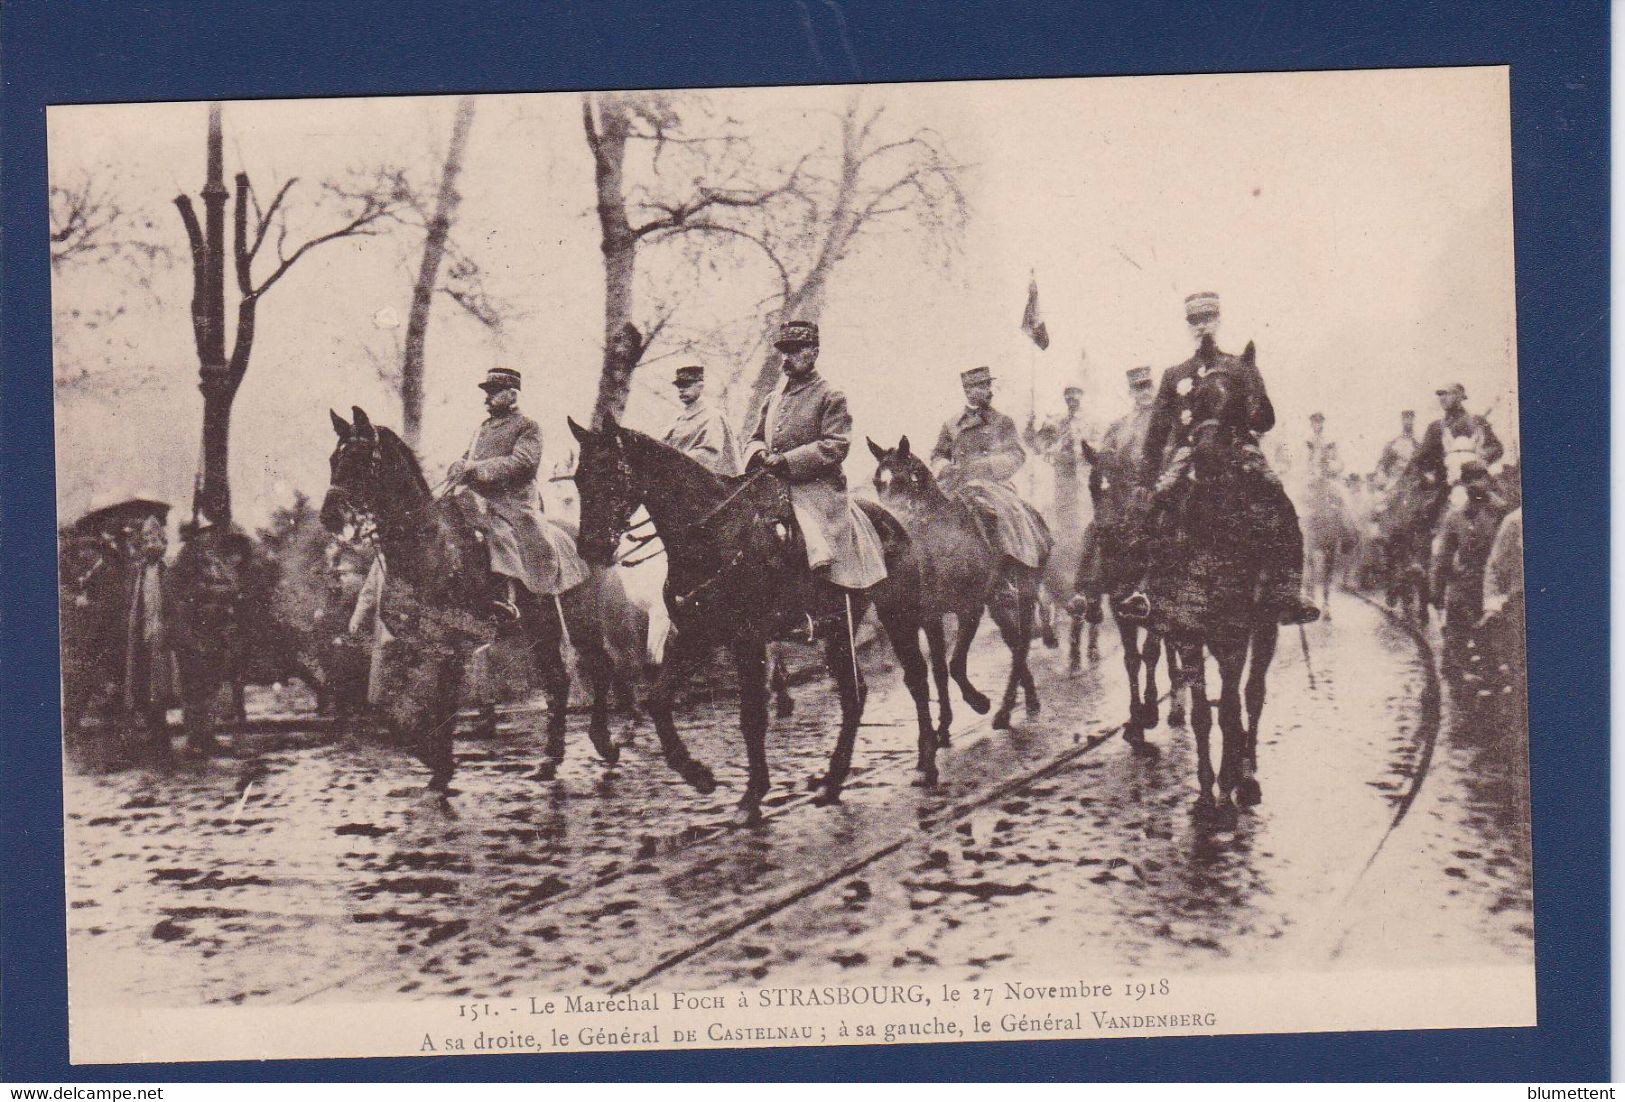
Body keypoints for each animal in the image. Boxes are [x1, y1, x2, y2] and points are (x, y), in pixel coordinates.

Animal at [323, 407, 620, 793]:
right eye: (334, 460)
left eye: (361, 459)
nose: (329, 517)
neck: (428, 545)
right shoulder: (416, 643)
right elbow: (396, 709)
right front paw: (430, 757)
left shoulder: (453, 643)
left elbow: (444, 701)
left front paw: (443, 767)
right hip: (542, 631)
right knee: (558, 680)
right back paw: (550, 760)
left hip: (583, 626)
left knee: (601, 667)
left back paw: (603, 743)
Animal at [568, 419, 936, 825]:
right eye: (579, 478)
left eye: (610, 473)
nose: (590, 549)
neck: (714, 535)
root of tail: (890, 518)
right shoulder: (696, 635)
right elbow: (659, 701)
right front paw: (698, 775)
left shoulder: (747, 640)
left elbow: (751, 716)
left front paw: (751, 796)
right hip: (840, 627)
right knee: (854, 695)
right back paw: (832, 782)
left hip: (898, 616)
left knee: (915, 679)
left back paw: (925, 764)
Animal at [871, 435, 1046, 737]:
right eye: (877, 482)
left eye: (905, 479)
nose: (888, 529)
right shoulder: (931, 616)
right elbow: (940, 669)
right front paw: (944, 724)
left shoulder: (970, 608)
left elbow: (955, 665)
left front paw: (979, 702)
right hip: (997, 600)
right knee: (1014, 642)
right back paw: (1027, 699)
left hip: (1025, 586)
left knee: (1022, 642)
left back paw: (1004, 711)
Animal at [1072, 438, 1189, 741]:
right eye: (1091, 486)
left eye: (1122, 484)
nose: (1104, 532)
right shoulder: (1118, 605)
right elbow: (1132, 659)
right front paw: (1136, 717)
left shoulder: (1158, 604)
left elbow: (1150, 652)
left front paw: (1150, 712)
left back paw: (1177, 705)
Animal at [1150, 367, 1287, 806]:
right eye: (1194, 402)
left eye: (1238, 400)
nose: (1207, 454)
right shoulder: (1189, 632)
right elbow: (1202, 714)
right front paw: (1207, 791)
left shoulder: (1234, 636)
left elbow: (1229, 708)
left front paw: (1230, 780)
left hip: (1267, 628)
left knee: (1253, 694)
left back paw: (1249, 773)